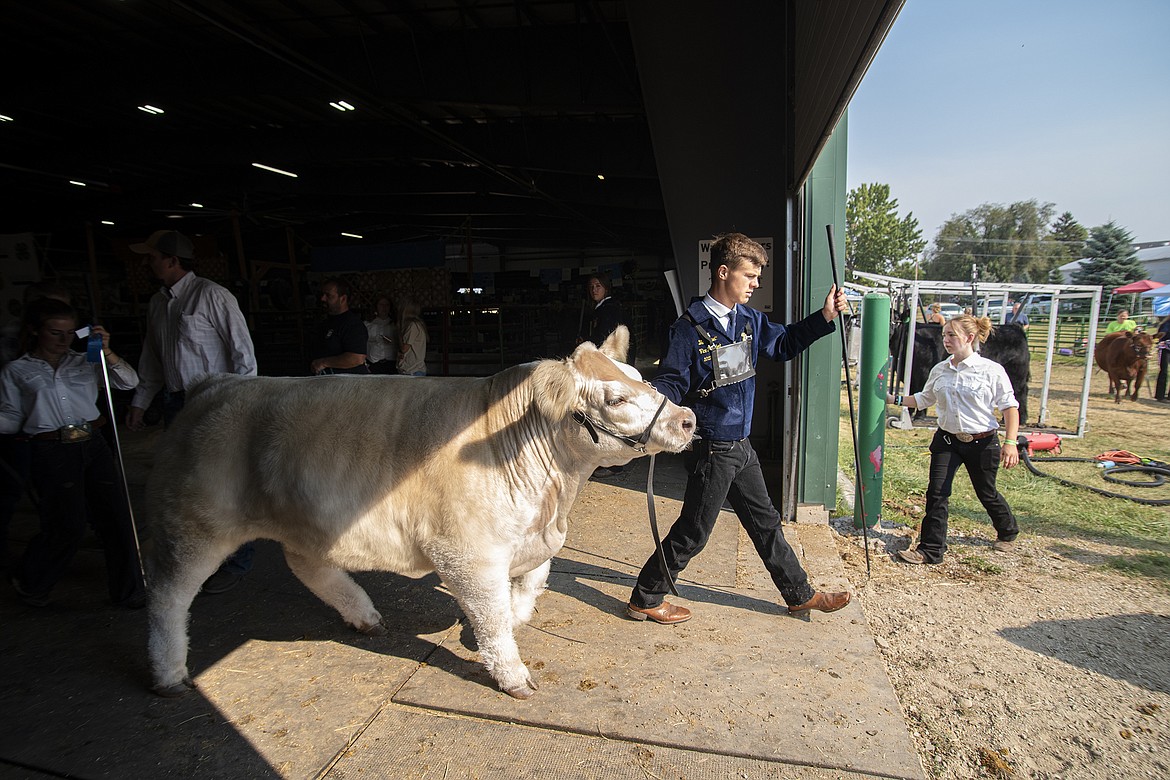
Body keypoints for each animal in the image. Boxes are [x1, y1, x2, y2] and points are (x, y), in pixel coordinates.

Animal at [889, 320, 1029, 423]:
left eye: (894, 319)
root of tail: (1015, 327)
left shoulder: (922, 372)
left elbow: (919, 391)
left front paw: (918, 416)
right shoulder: (911, 376)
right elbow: (912, 392)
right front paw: (910, 412)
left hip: (1016, 374)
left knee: (1019, 394)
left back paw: (1019, 419)